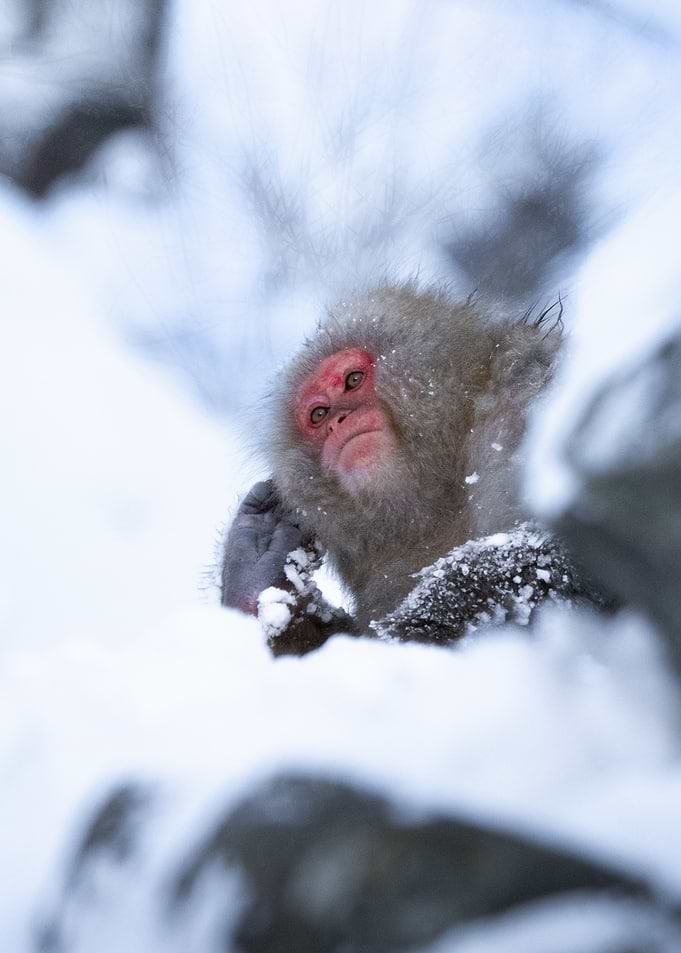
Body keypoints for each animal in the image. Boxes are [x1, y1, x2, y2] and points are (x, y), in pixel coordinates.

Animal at [221, 283, 597, 655]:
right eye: (318, 414)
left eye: (353, 379)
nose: (338, 421)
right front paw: (259, 569)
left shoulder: (525, 395)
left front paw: (426, 619)